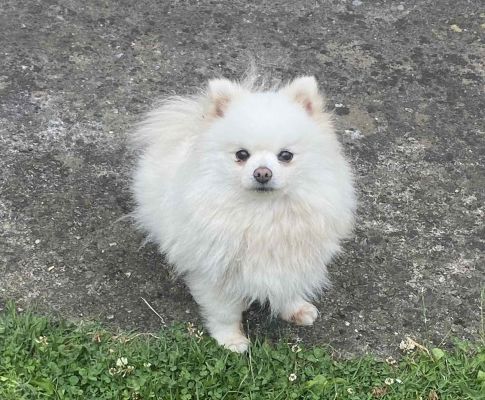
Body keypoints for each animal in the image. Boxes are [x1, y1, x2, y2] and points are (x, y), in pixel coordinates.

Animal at [132, 73, 356, 352]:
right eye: (241, 154)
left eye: (286, 155)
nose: (262, 173)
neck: (264, 212)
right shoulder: (216, 272)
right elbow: (224, 312)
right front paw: (231, 340)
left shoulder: (291, 260)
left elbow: (288, 287)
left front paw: (295, 309)